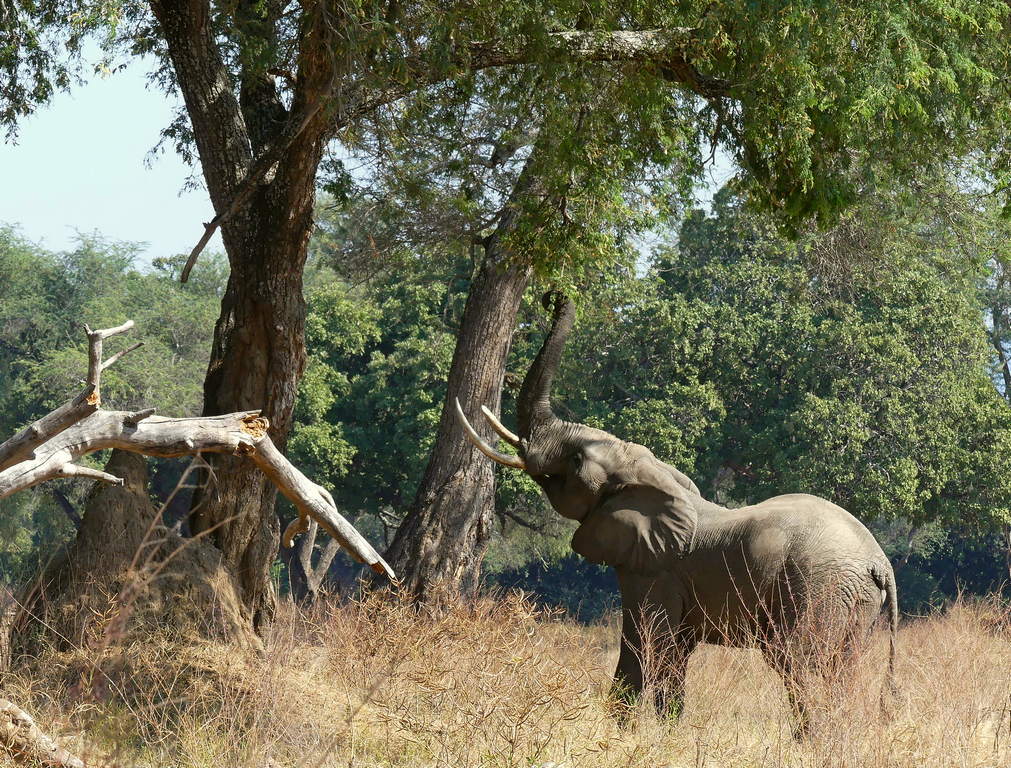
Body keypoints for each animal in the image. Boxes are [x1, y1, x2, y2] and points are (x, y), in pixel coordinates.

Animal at [455, 291, 898, 734]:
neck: (657, 479)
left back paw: (813, 739)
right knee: (843, 668)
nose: (554, 296)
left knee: (799, 662)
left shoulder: (654, 570)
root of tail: (879, 562)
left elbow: (647, 643)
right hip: (852, 600)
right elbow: (668, 651)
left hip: (818, 587)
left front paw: (630, 735)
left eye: (576, 460)